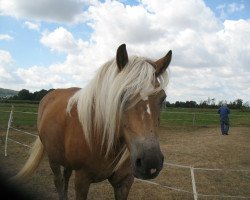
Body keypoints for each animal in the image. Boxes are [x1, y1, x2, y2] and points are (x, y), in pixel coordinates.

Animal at [12, 44, 172, 200]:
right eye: (121, 95)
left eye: (162, 97)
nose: (151, 162)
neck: (100, 137)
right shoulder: (82, 180)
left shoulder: (124, 182)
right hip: (53, 158)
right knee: (58, 181)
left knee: (65, 177)